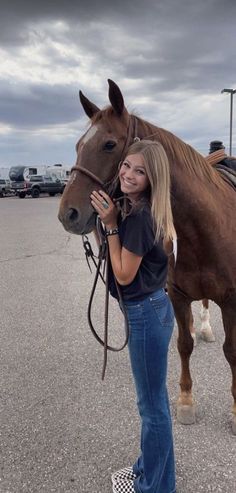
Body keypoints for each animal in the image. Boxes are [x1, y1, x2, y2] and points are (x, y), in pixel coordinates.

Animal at [58, 79, 236, 432]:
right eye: (78, 145)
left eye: (109, 144)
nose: (68, 214)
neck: (206, 226)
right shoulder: (177, 295)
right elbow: (183, 345)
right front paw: (185, 401)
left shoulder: (232, 300)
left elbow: (232, 352)